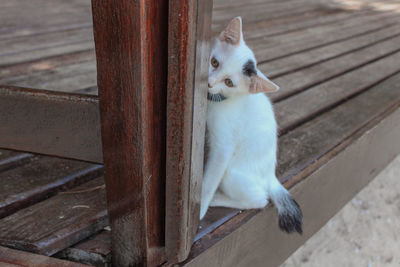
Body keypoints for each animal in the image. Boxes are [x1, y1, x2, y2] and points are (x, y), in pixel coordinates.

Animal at [200, 16, 304, 234]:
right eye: (214, 62)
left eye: (229, 82)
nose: (210, 82)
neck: (219, 101)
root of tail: (271, 177)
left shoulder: (224, 146)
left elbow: (209, 182)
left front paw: (200, 208)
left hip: (233, 173)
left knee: (259, 200)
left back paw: (219, 198)